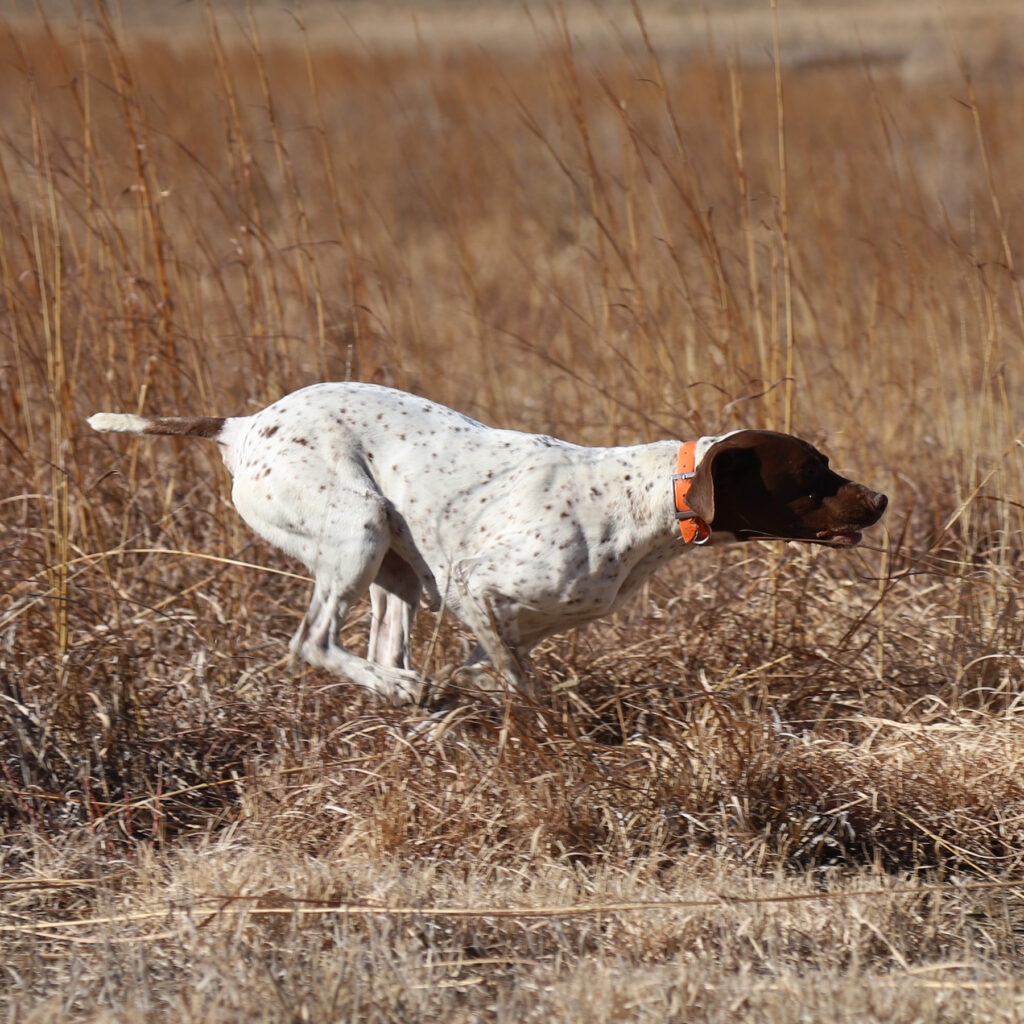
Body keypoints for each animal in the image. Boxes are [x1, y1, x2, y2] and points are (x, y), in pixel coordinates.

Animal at [90, 382, 888, 704]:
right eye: (814, 473)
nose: (880, 500)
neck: (641, 499)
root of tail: (243, 425)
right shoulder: (473, 584)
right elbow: (523, 689)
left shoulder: (507, 623)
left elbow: (493, 665)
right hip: (359, 524)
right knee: (313, 643)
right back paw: (395, 689)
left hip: (394, 569)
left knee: (381, 649)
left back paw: (402, 694)